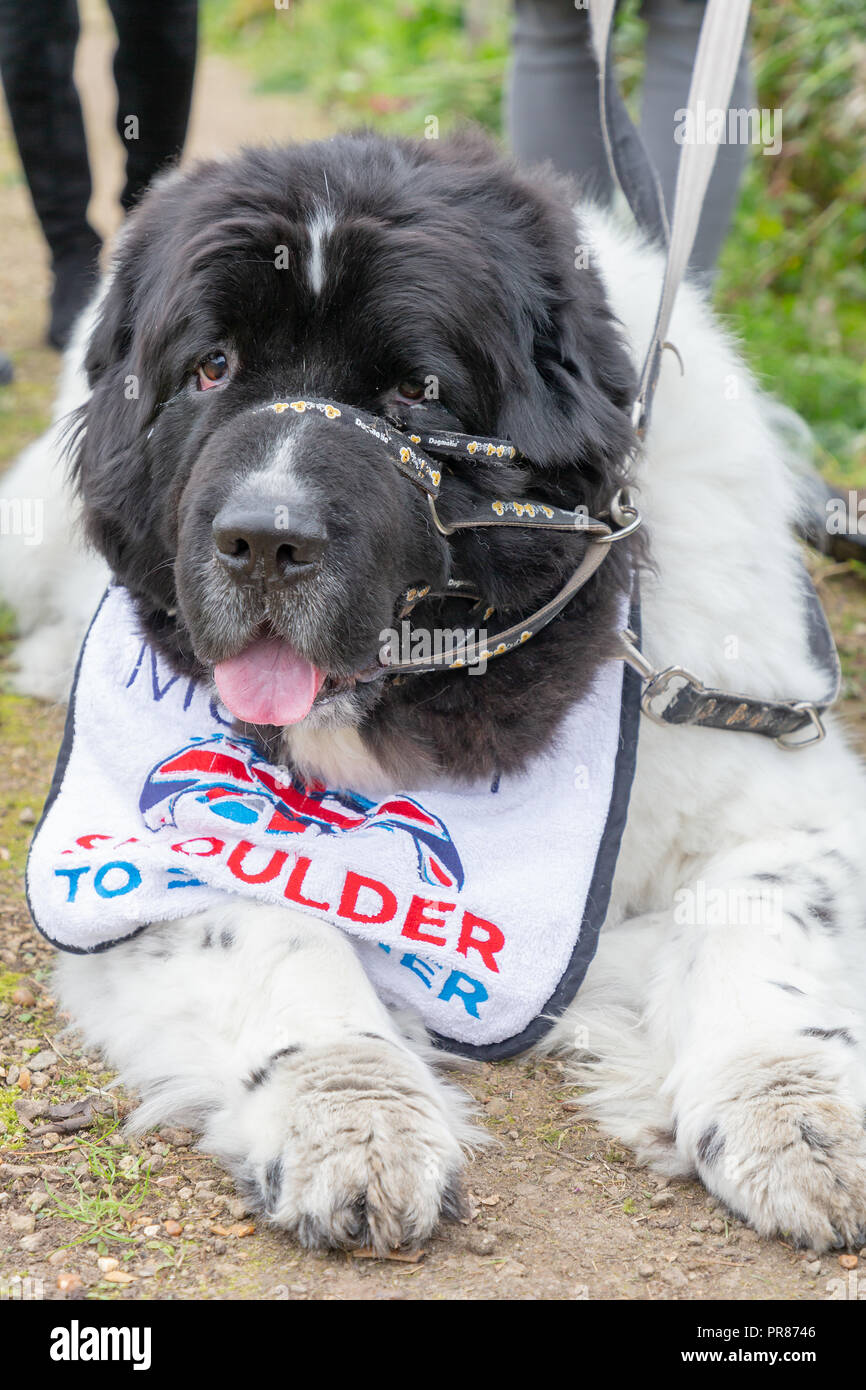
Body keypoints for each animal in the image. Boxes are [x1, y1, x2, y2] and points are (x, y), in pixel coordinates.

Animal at [6, 135, 866, 1256]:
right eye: (211, 366)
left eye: (416, 390)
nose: (264, 539)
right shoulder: (136, 860)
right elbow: (277, 934)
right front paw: (353, 1116)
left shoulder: (786, 790)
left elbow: (762, 911)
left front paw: (793, 1112)